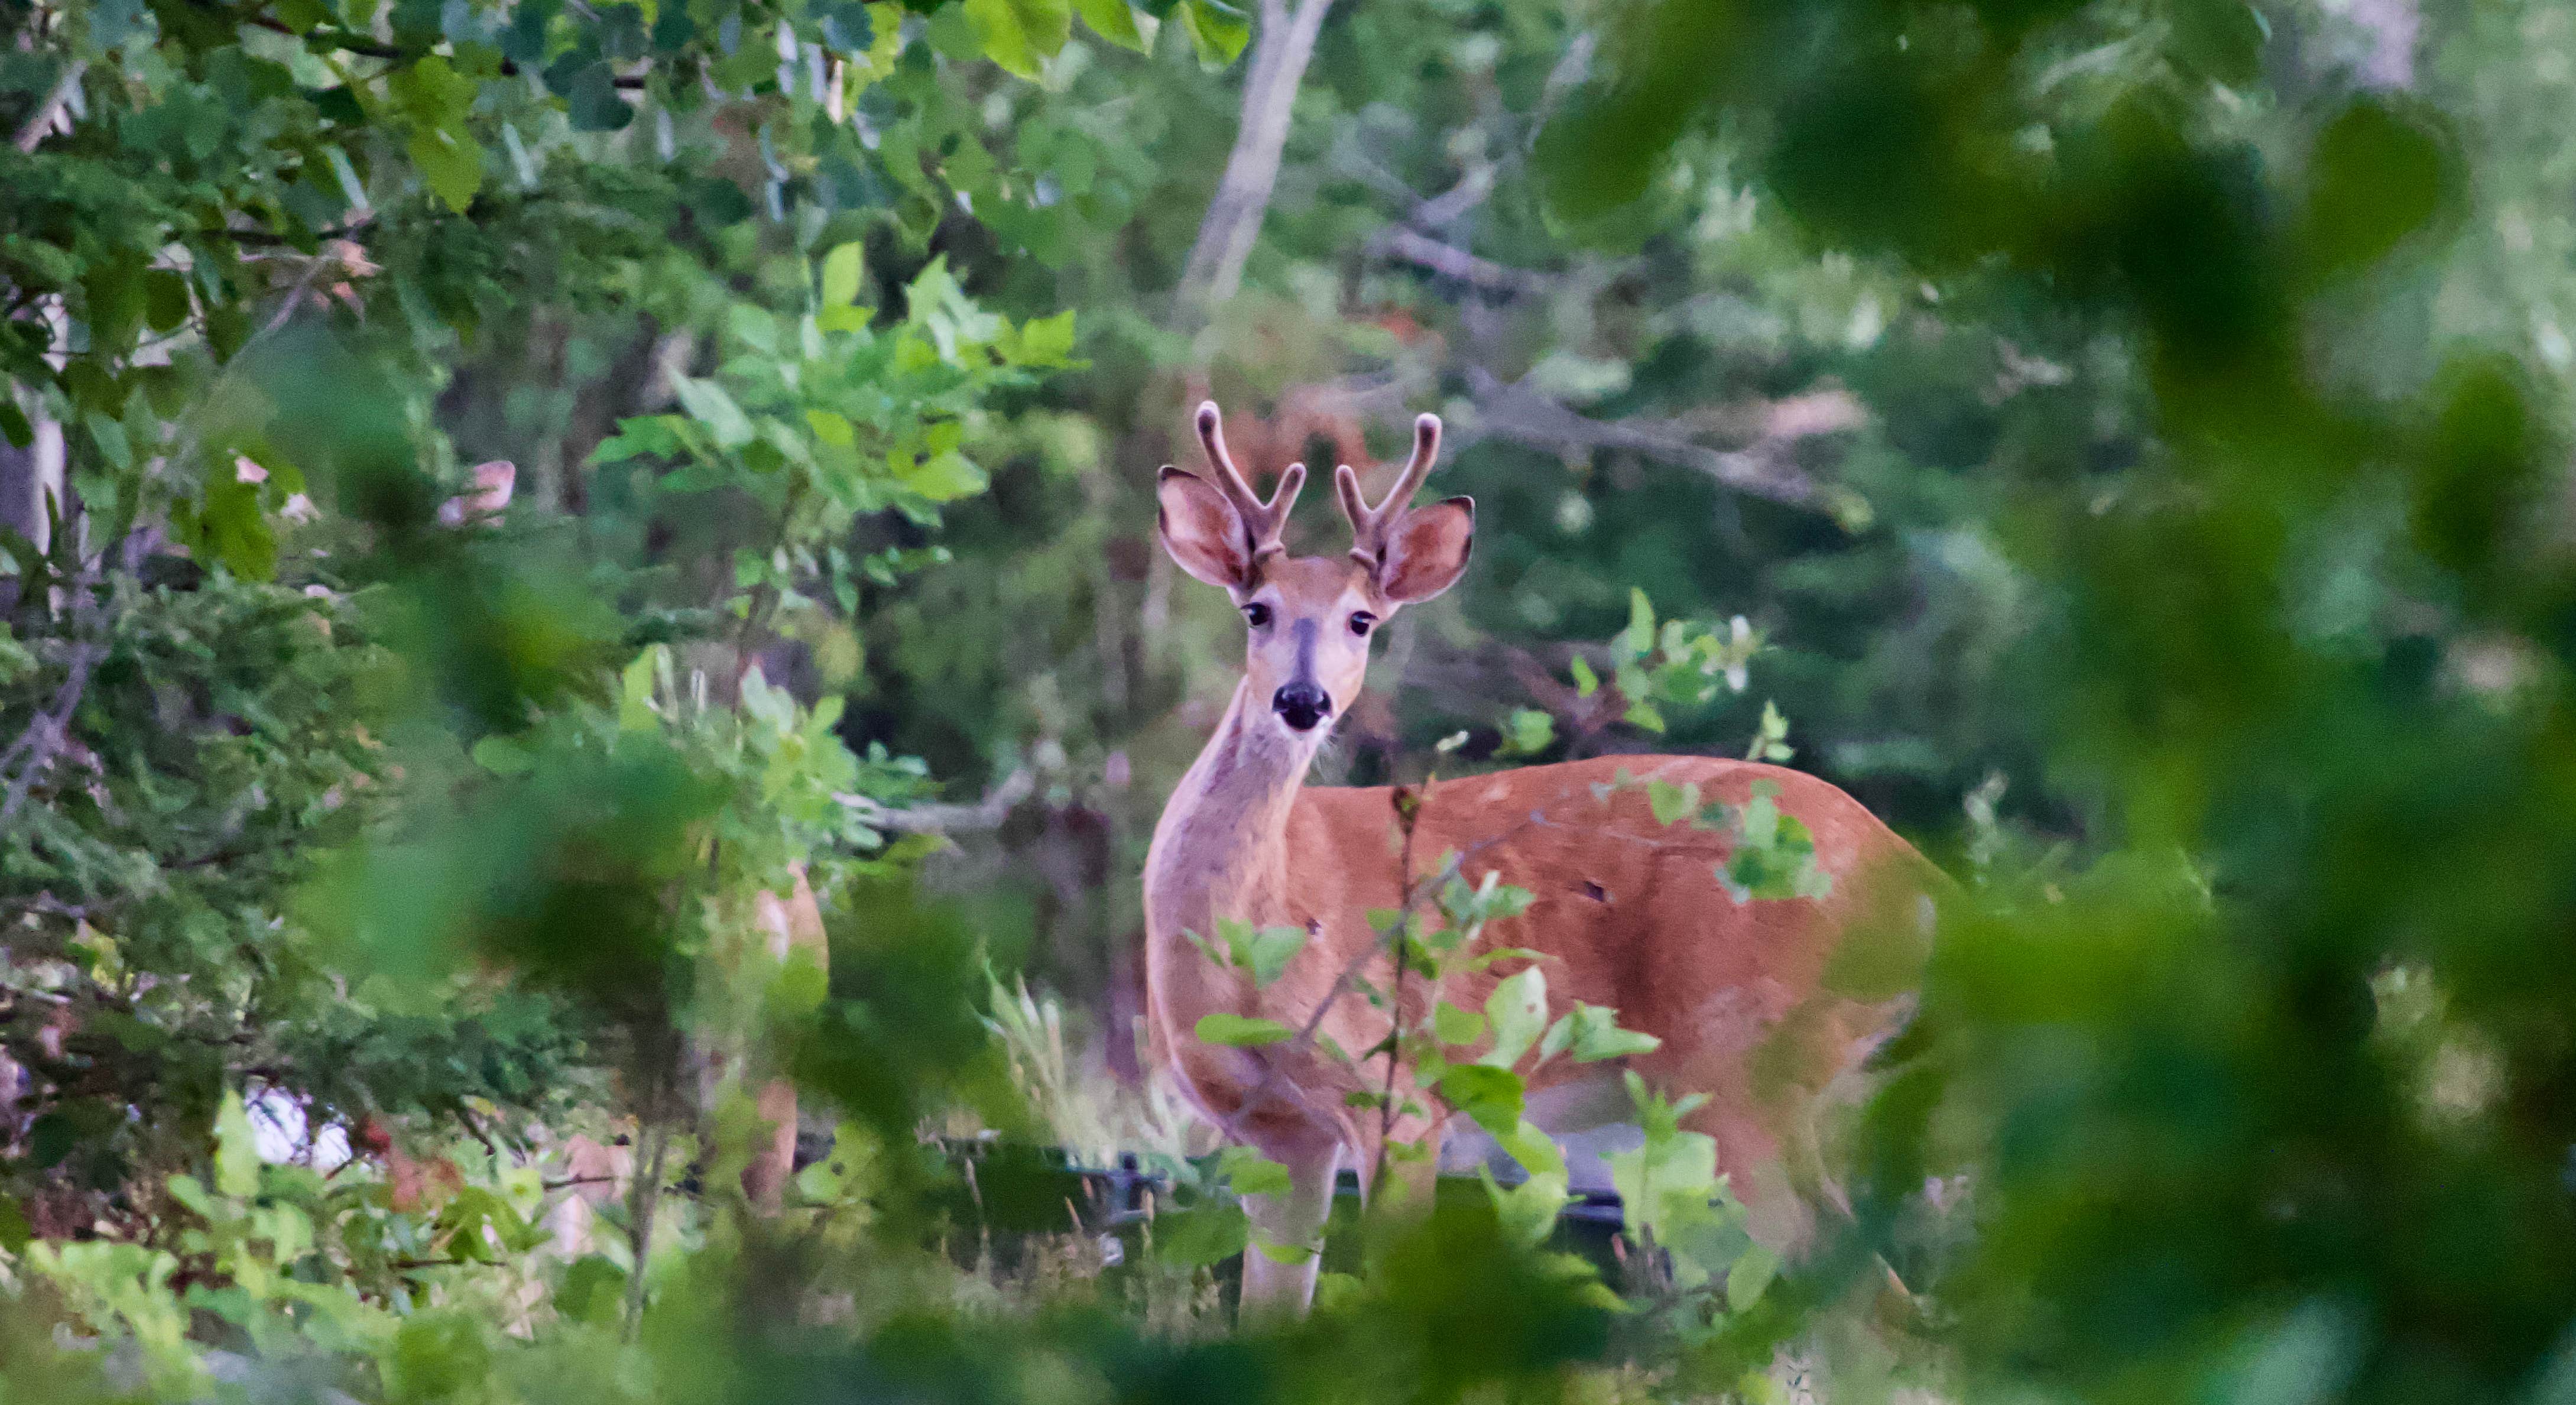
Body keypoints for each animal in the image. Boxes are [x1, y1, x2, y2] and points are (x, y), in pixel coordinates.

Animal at [1143, 402, 1938, 1316]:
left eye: (1360, 619)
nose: (1302, 701)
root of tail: (1923, 879)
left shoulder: (1399, 1092)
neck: (1259, 929)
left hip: (1743, 1062)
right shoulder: (1272, 1132)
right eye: (1256, 610)